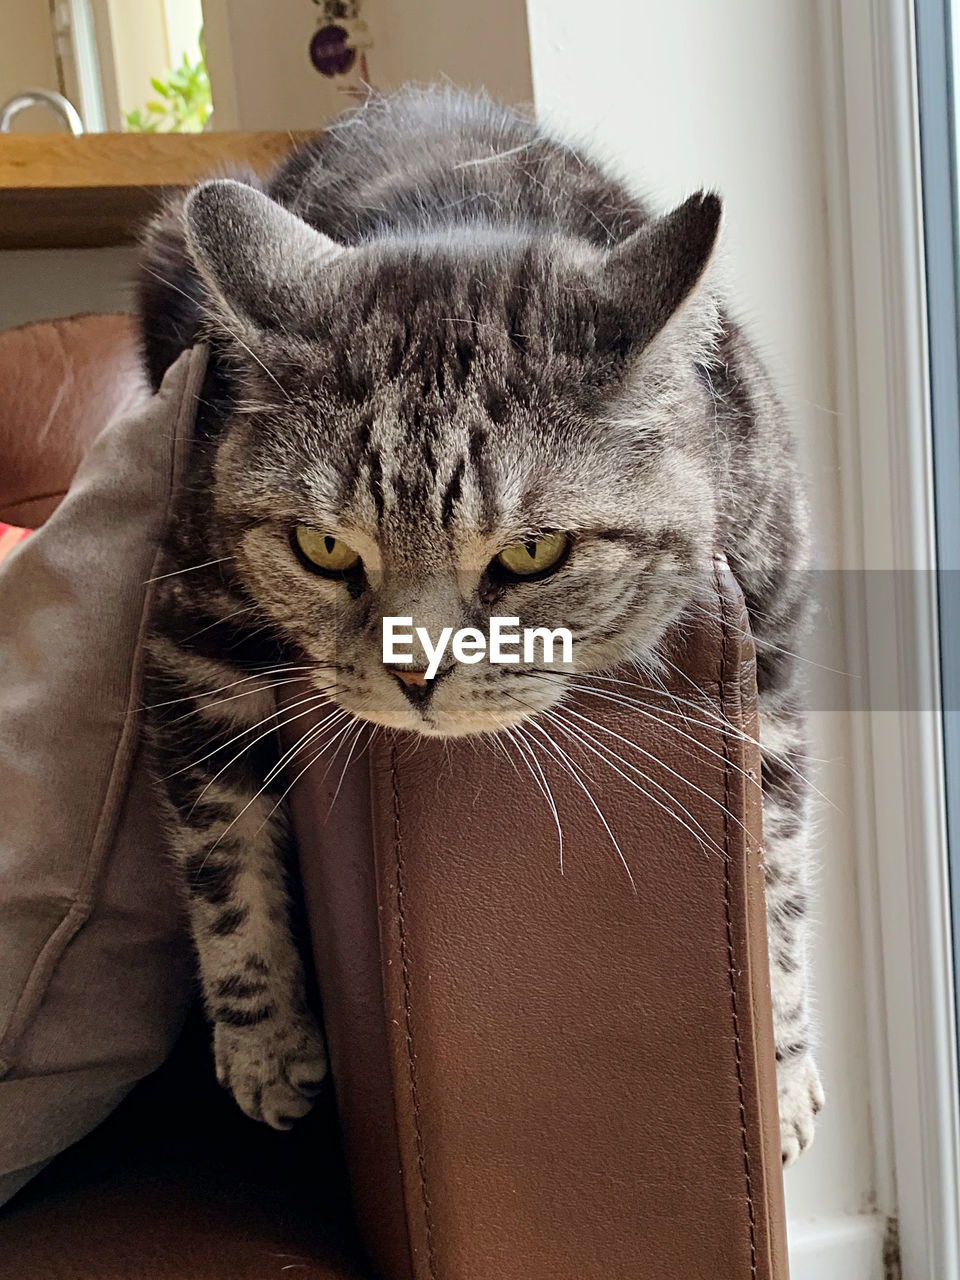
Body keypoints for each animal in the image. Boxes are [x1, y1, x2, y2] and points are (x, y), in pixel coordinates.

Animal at [138, 87, 824, 1162]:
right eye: (322, 548)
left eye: (533, 554)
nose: (416, 672)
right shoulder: (187, 637)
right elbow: (225, 863)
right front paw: (267, 1045)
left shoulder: (776, 658)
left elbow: (781, 875)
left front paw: (784, 1070)